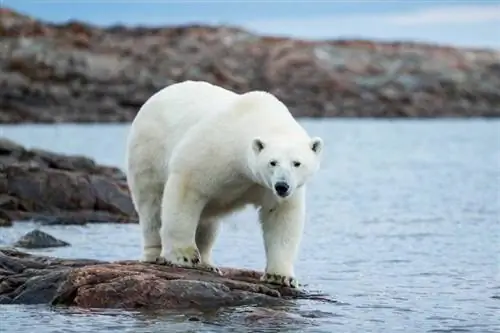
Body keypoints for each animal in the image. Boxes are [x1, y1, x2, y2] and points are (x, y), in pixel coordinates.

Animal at [125, 80, 324, 288]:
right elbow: (186, 189)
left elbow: (281, 215)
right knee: (152, 205)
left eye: (297, 163)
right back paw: (155, 255)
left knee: (207, 222)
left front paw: (280, 276)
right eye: (273, 162)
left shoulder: (268, 187)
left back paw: (207, 264)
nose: (282, 186)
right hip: (148, 150)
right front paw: (184, 256)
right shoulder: (214, 149)